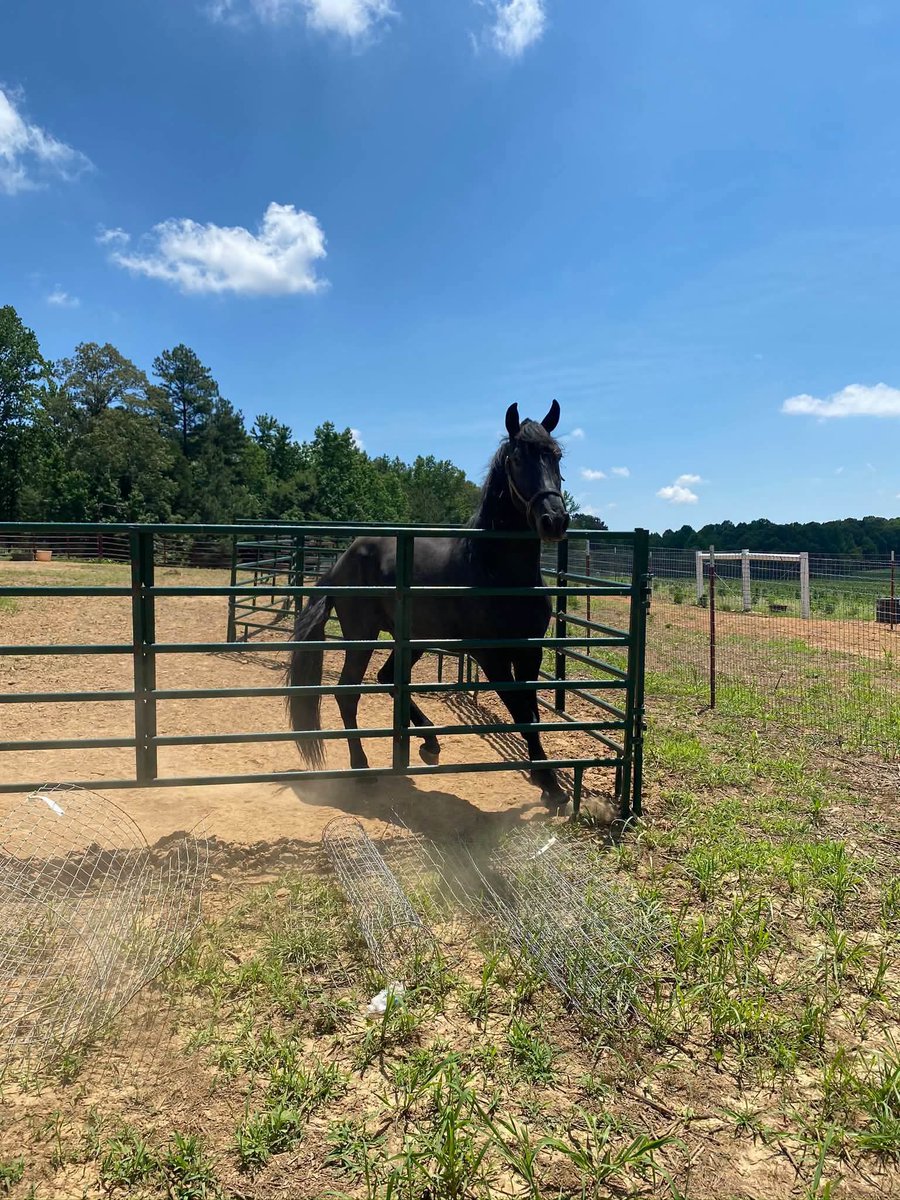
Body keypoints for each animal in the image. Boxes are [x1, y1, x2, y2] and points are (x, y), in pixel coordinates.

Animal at [287, 400, 571, 805]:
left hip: (412, 639)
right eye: (517, 458)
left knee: (387, 678)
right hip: (362, 636)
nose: (554, 520)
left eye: (556, 456)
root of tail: (342, 561)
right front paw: (549, 783)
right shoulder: (491, 656)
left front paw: (547, 781)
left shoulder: (529, 651)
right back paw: (363, 769)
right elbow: (519, 711)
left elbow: (530, 712)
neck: (495, 568)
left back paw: (429, 742)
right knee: (348, 693)